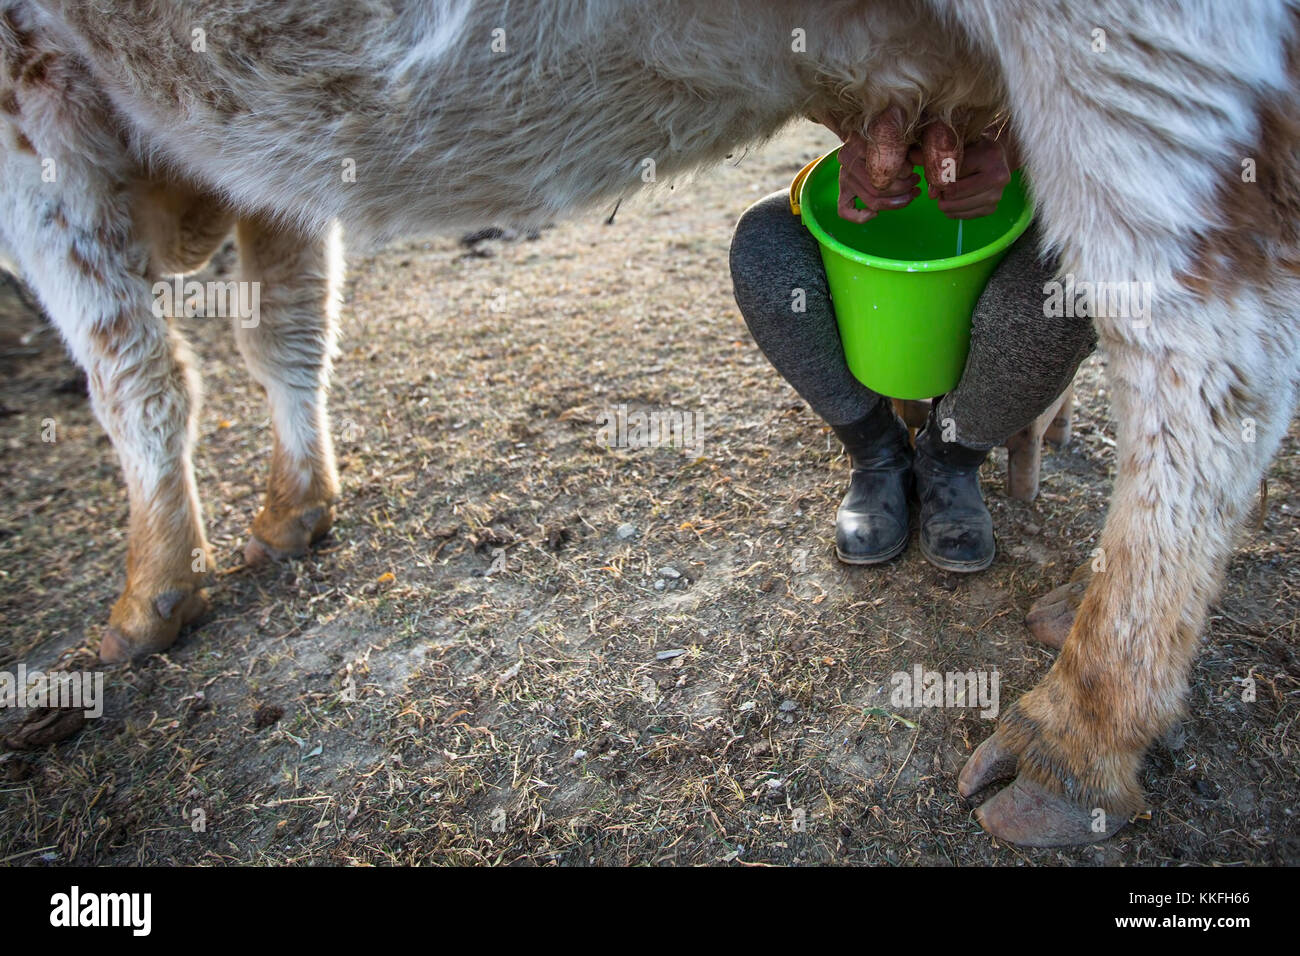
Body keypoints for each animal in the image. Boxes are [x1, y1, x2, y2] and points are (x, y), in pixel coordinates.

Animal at [0, 1, 1294, 853]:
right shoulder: (261, 166)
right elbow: (284, 327)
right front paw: (289, 511)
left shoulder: (33, 89)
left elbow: (135, 370)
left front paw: (144, 604)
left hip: (1141, 50)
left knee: (1209, 357)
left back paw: (1072, 733)